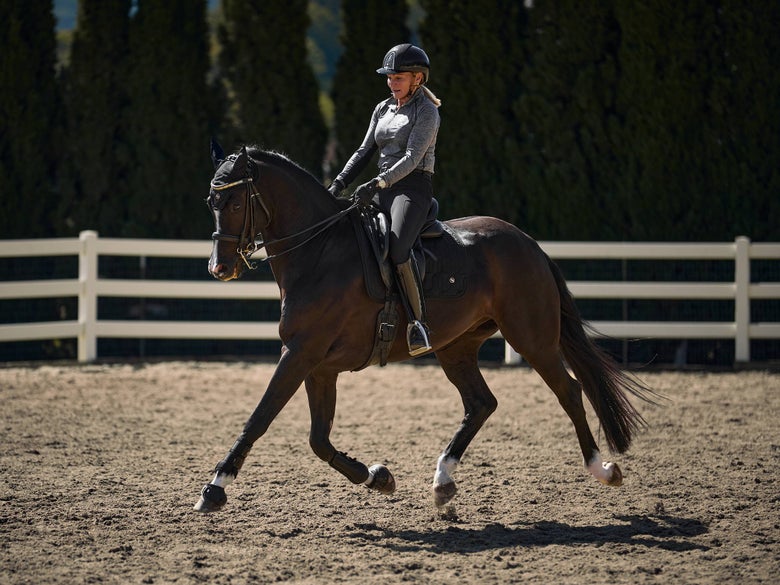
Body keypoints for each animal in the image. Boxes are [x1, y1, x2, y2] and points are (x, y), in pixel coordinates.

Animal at [194, 141, 657, 513]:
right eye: (211, 203)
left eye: (235, 203)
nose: (219, 268)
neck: (320, 253)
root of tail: (529, 244)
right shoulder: (318, 365)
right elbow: (318, 440)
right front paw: (377, 476)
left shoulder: (300, 354)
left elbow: (259, 418)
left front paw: (215, 488)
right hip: (456, 347)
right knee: (481, 403)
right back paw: (442, 481)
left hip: (533, 340)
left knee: (569, 392)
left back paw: (603, 468)